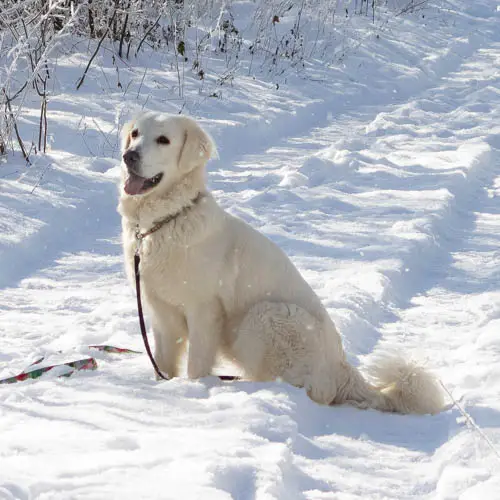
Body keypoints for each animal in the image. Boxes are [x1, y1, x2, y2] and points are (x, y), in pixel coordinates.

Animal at [118, 112, 446, 414]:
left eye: (163, 140)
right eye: (135, 134)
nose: (128, 155)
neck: (164, 221)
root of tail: (343, 372)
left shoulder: (204, 311)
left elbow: (196, 366)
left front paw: (193, 390)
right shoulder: (160, 313)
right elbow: (162, 364)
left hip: (266, 316)